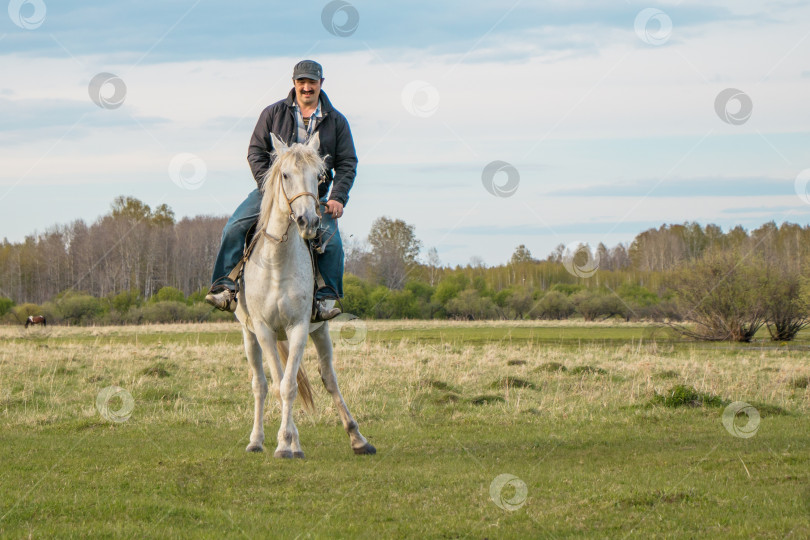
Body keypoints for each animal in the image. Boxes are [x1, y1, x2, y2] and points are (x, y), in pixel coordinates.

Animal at [232, 133, 374, 458]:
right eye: (285, 175)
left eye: (319, 176)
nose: (308, 221)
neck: (277, 263)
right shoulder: (263, 329)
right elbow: (276, 385)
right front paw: (285, 441)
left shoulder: (298, 327)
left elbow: (289, 386)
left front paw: (286, 443)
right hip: (249, 334)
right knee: (260, 384)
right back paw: (256, 440)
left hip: (319, 330)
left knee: (328, 378)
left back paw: (357, 438)